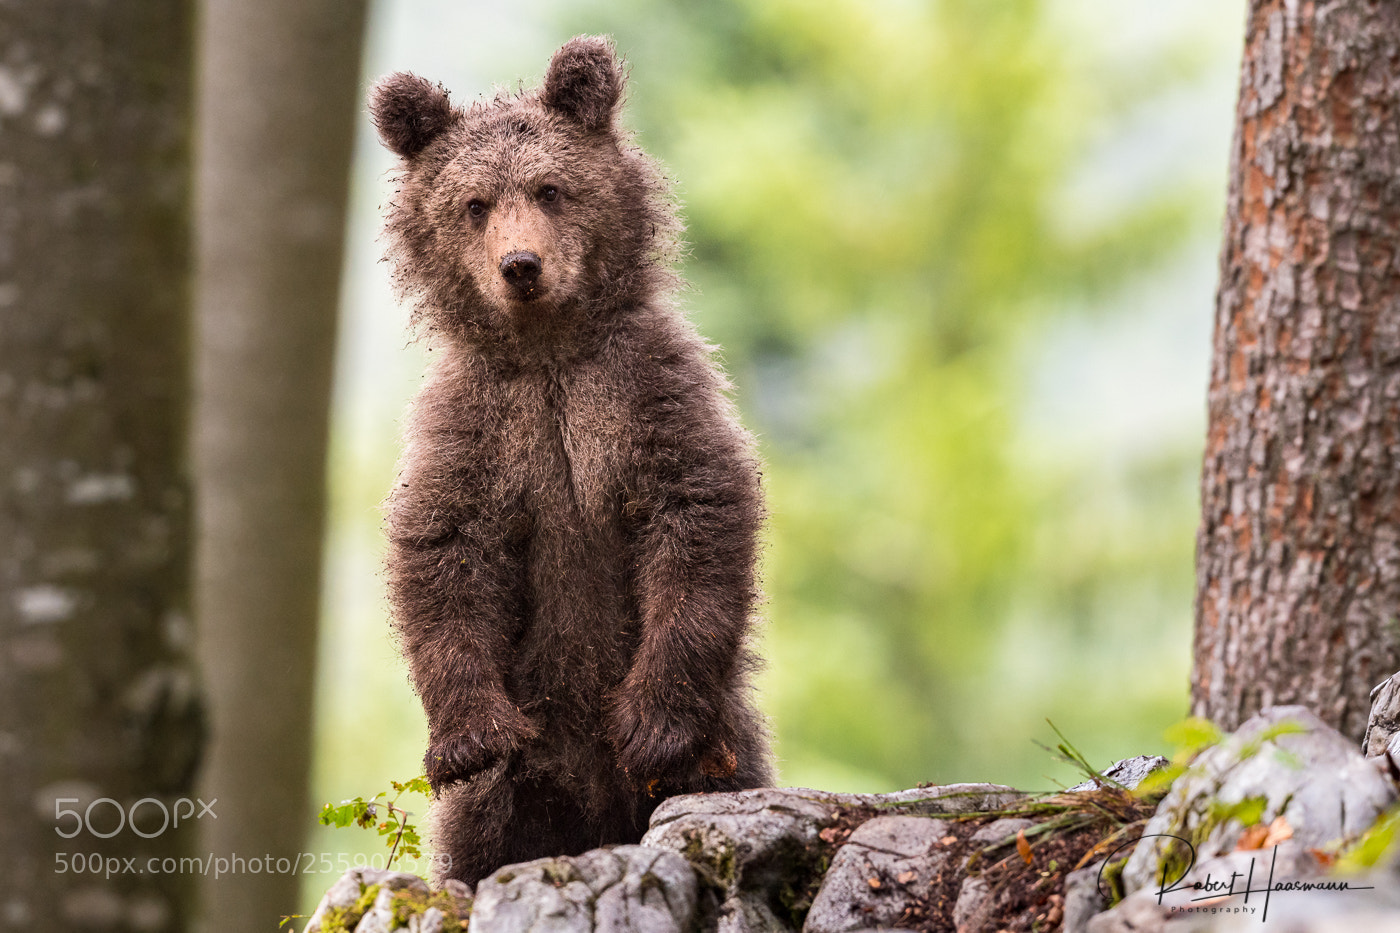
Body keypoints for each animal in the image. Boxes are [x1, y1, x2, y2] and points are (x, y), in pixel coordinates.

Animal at [368, 35, 775, 886]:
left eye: (550, 188)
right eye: (474, 203)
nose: (520, 265)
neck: (549, 353)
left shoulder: (643, 391)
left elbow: (695, 511)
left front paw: (650, 721)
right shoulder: (480, 425)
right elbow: (443, 547)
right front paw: (467, 736)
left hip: (724, 746)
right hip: (516, 787)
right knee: (481, 840)